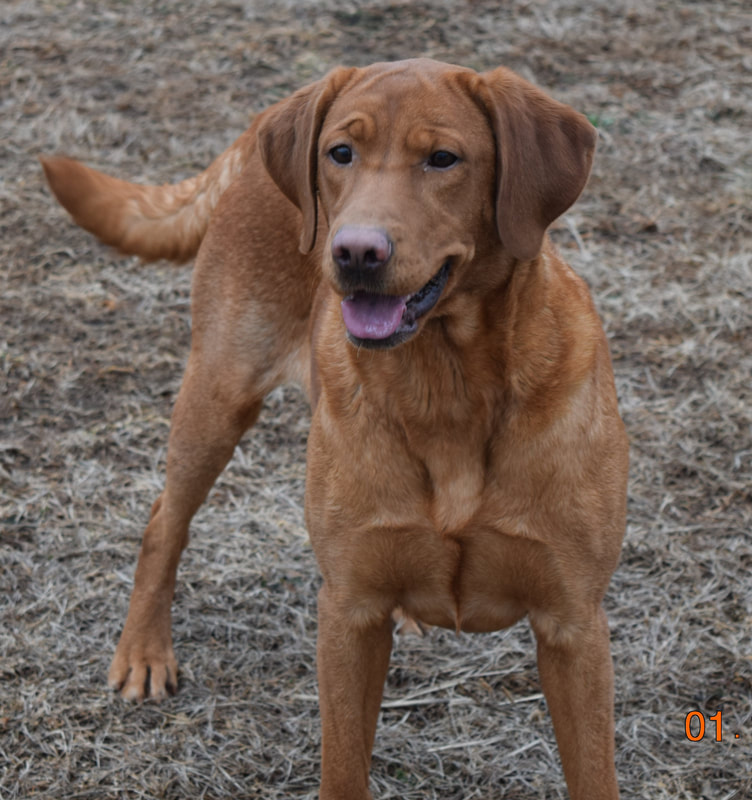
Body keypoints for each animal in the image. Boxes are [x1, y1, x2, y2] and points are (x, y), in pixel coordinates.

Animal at [41, 57, 628, 800]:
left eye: (443, 159)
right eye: (340, 153)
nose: (355, 251)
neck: (447, 387)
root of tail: (265, 123)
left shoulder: (574, 626)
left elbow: (592, 770)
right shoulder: (346, 615)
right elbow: (345, 763)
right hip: (219, 393)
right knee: (162, 521)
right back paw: (143, 651)